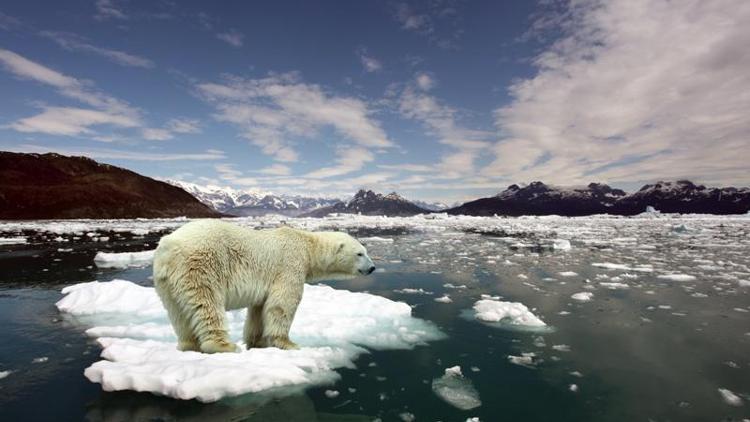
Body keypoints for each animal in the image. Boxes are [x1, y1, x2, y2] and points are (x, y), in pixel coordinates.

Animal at [153, 219, 376, 354]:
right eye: (360, 253)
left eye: (366, 251)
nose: (373, 268)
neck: (307, 245)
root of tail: (168, 246)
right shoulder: (289, 265)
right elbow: (282, 304)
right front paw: (288, 344)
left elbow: (259, 309)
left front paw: (257, 342)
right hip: (201, 265)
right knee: (207, 304)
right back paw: (224, 345)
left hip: (166, 281)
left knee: (178, 313)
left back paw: (188, 345)